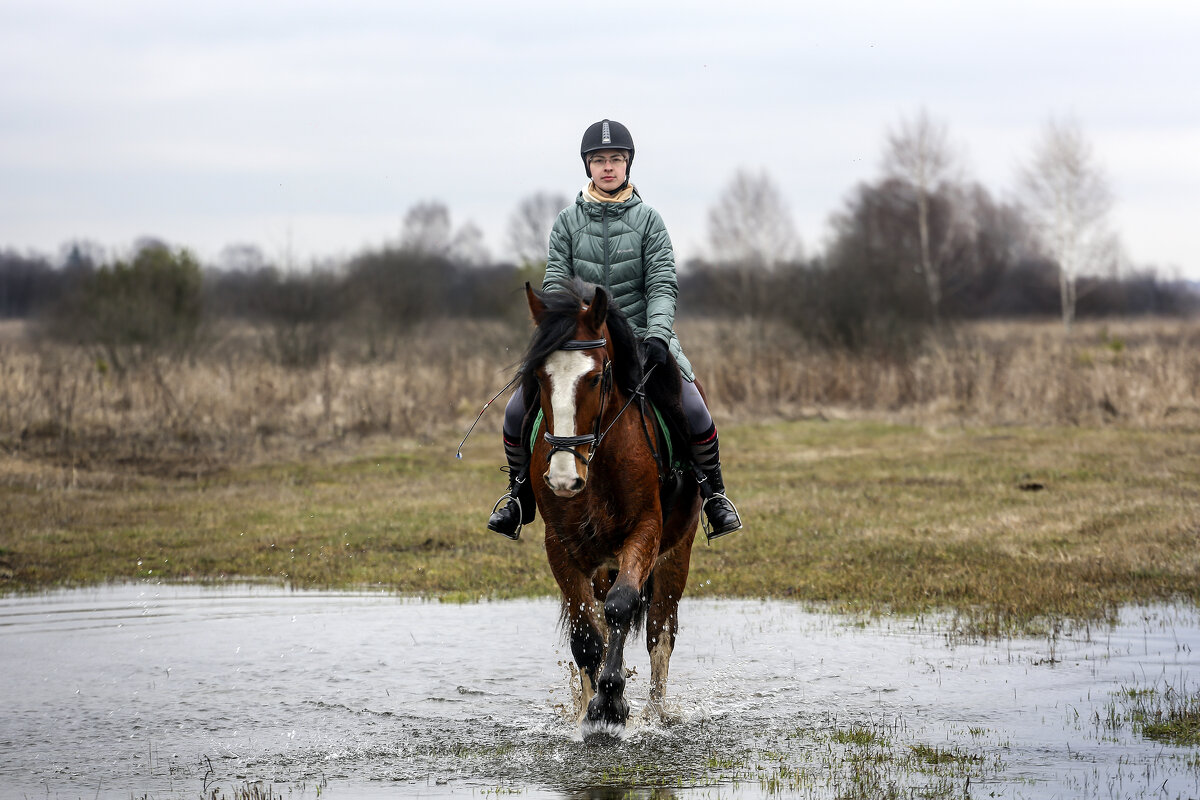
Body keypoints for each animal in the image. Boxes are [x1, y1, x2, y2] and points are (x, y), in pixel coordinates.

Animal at [518, 278, 700, 743]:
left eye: (597, 377)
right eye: (538, 378)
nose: (563, 478)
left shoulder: (646, 533)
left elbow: (622, 607)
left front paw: (612, 704)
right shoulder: (561, 547)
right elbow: (586, 636)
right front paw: (590, 711)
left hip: (675, 557)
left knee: (659, 634)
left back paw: (656, 713)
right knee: (599, 624)